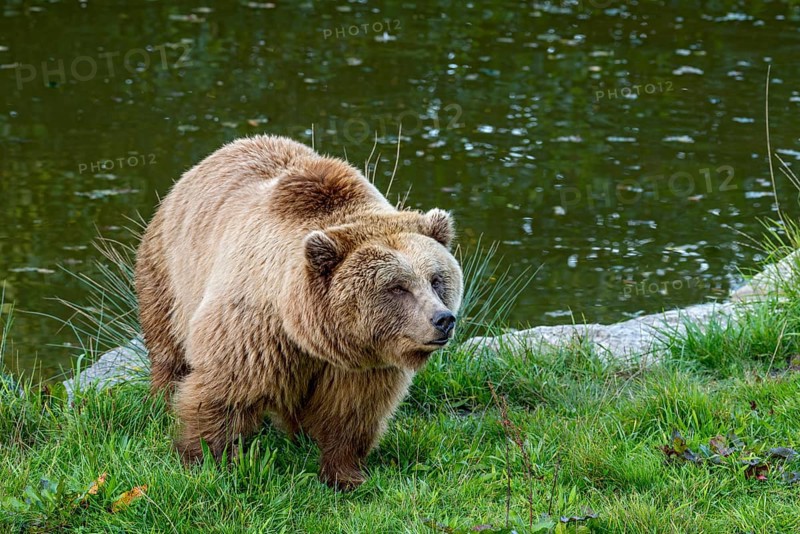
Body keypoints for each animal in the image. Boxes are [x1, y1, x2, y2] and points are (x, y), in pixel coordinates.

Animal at [135, 135, 463, 489]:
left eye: (436, 279)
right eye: (397, 287)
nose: (443, 319)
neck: (310, 331)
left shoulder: (360, 365)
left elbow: (352, 412)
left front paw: (346, 474)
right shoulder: (255, 333)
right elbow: (226, 393)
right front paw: (207, 459)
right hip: (169, 271)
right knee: (169, 349)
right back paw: (160, 400)